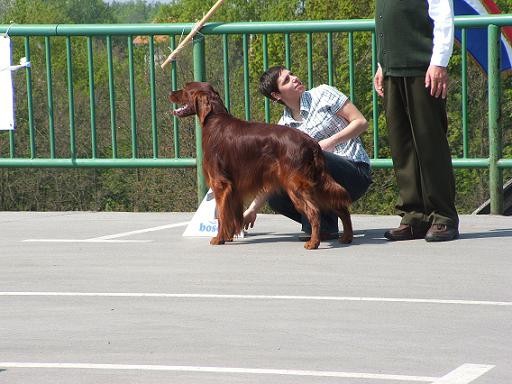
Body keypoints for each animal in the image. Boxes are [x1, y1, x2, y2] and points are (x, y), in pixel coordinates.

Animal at [170, 82, 354, 249]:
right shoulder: (233, 187)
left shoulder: (220, 183)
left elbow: (222, 214)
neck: (215, 121)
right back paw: (346, 237)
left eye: (185, 89)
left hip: (296, 185)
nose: (171, 93)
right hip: (316, 183)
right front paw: (228, 236)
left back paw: (313, 243)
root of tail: (311, 142)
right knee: (341, 207)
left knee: (315, 212)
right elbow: (231, 214)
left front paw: (218, 239)